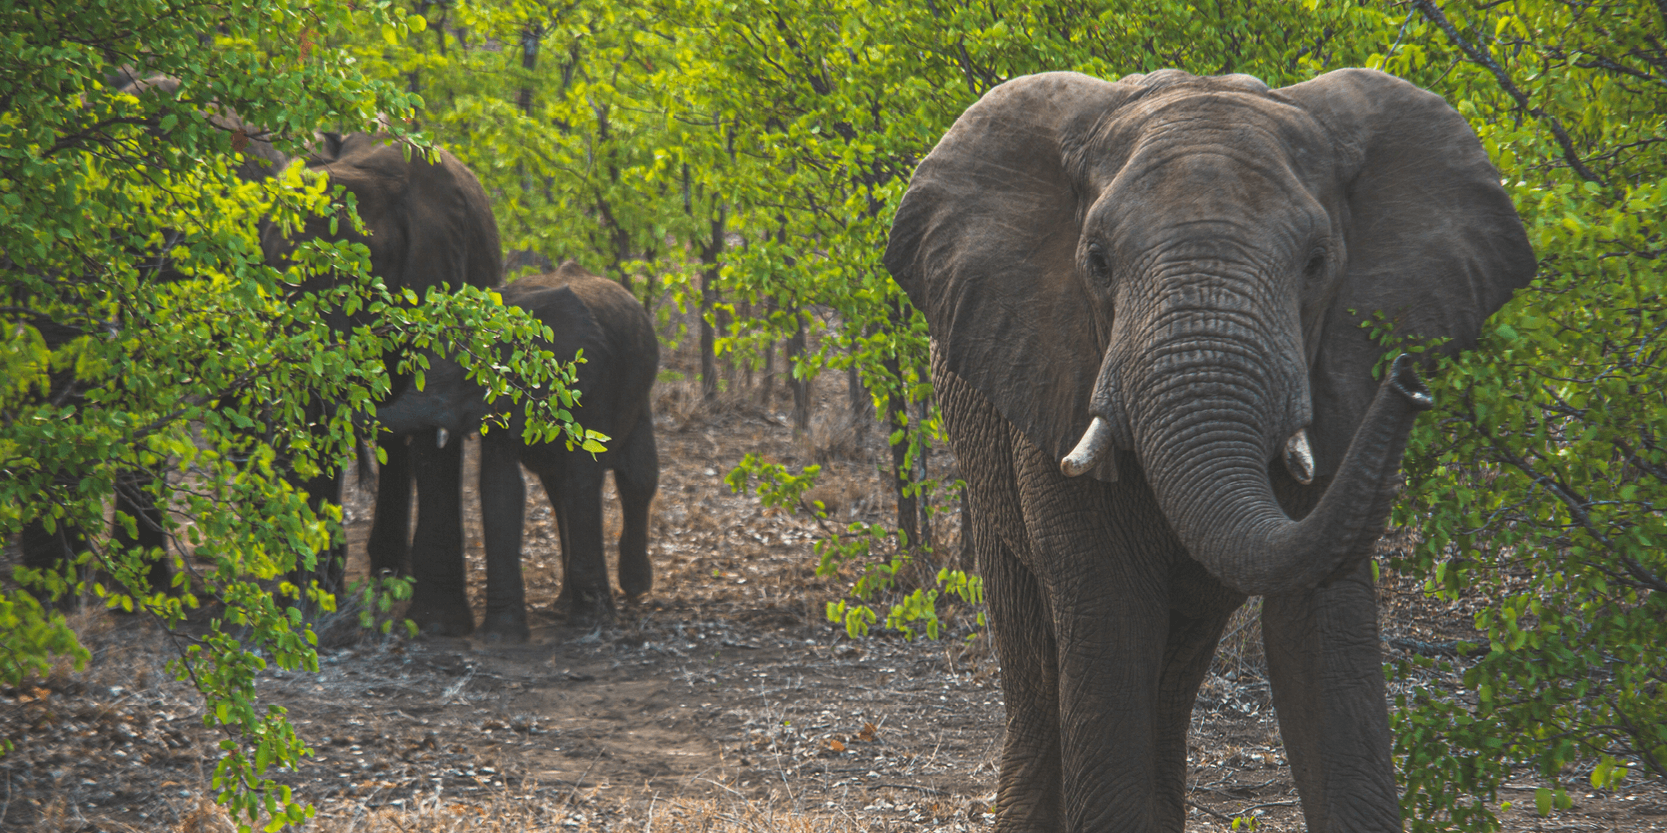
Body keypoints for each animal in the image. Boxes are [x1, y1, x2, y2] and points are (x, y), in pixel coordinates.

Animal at [374, 261, 660, 640]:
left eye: (462, 378)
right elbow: (500, 486)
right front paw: (502, 634)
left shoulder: (588, 383)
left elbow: (582, 479)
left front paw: (591, 622)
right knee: (558, 492)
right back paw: (563, 605)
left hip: (640, 390)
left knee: (637, 478)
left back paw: (635, 588)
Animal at [884, 69, 1535, 832]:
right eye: (1097, 263)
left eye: (1316, 265)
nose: (1405, 378)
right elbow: (1109, 633)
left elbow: (1321, 640)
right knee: (1040, 673)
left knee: (1172, 678)